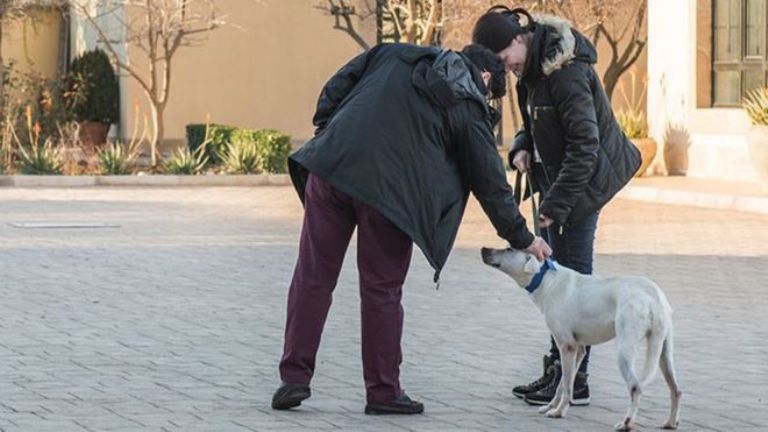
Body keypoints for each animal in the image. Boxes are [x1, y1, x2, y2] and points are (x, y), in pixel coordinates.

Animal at [484, 248, 680, 430]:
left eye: (509, 249)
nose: (484, 249)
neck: (545, 278)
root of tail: (653, 295)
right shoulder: (578, 349)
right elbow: (563, 383)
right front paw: (551, 407)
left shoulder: (566, 346)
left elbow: (566, 385)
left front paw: (559, 412)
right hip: (665, 352)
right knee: (676, 390)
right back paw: (670, 423)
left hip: (625, 351)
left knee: (635, 387)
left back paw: (627, 423)